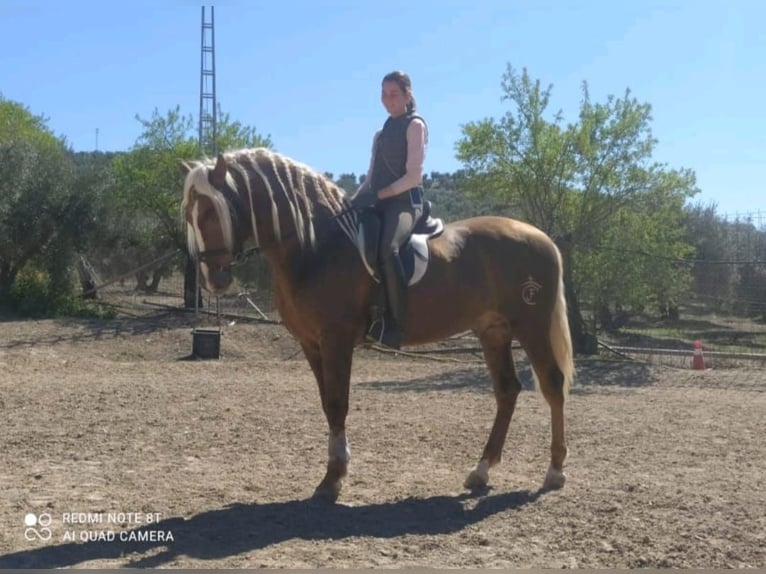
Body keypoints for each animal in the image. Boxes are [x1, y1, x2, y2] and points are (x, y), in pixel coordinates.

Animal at [182, 148, 576, 504]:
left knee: (552, 385)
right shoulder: (311, 343)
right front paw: (335, 470)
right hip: (494, 331)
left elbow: (338, 402)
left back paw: (555, 472)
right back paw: (481, 471)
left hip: (532, 326)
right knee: (507, 391)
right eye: (189, 215)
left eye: (214, 211)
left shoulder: (336, 339)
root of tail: (540, 237)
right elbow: (327, 403)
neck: (315, 246)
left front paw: (332, 479)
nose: (212, 279)